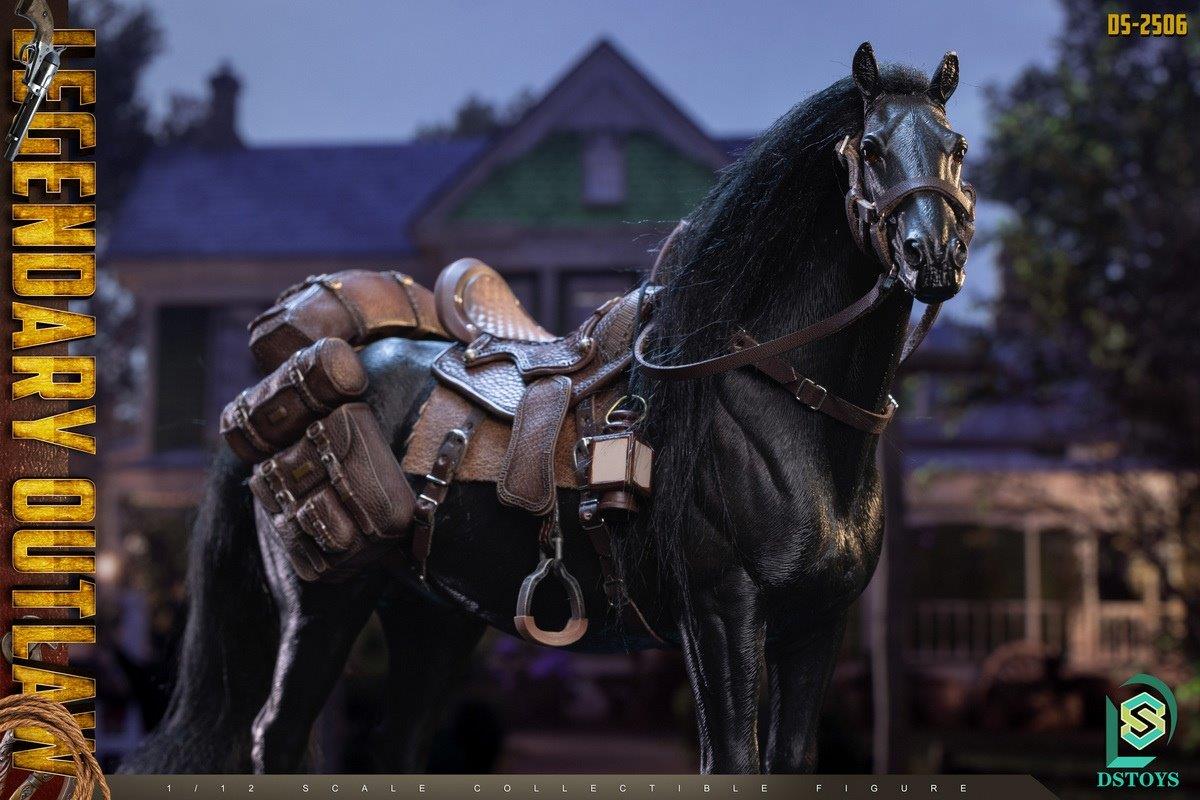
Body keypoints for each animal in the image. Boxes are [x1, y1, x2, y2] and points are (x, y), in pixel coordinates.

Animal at [122, 42, 973, 775]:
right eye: (870, 147)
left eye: (956, 146)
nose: (934, 256)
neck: (788, 407)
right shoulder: (722, 613)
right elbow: (732, 762)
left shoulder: (818, 623)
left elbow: (792, 761)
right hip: (323, 603)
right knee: (278, 734)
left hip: (433, 619)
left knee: (395, 744)